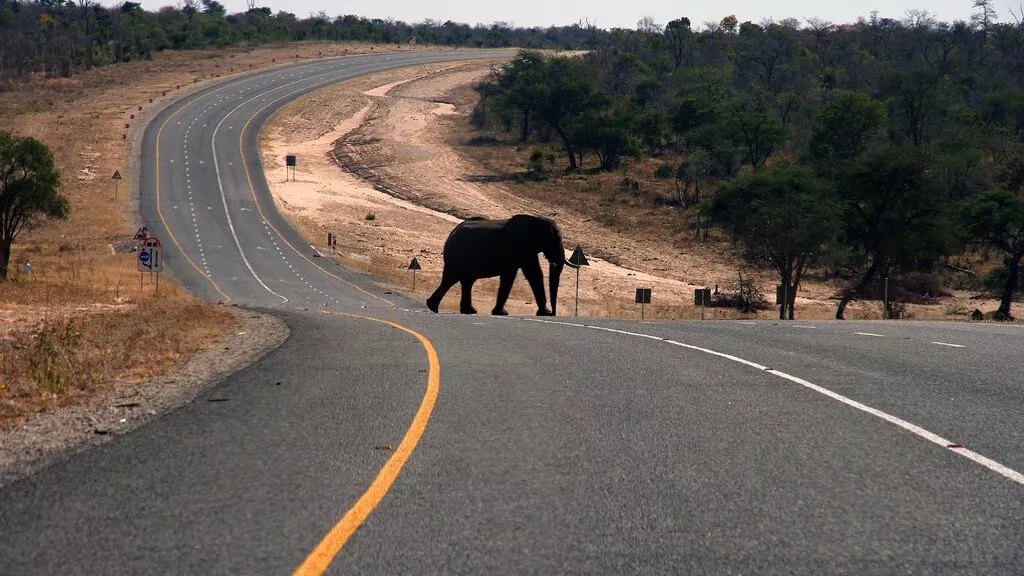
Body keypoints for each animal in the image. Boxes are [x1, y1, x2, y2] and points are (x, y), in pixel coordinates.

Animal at [426, 214, 576, 316]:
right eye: (552, 241)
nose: (553, 313)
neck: (536, 221)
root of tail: (452, 233)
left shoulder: (528, 250)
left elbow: (534, 274)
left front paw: (544, 313)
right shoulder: (519, 246)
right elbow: (515, 275)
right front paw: (502, 313)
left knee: (466, 281)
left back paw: (468, 311)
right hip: (456, 256)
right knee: (451, 279)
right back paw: (433, 307)